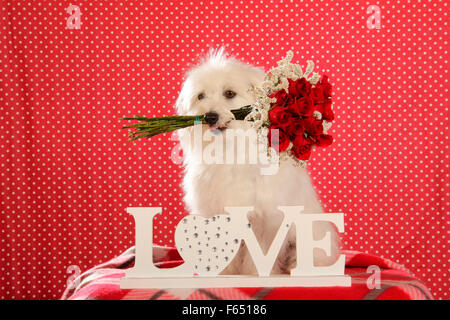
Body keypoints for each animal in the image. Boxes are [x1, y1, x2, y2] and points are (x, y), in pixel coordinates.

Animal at [175, 48, 338, 274]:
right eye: (200, 96)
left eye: (229, 93)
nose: (210, 116)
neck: (231, 149)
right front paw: (225, 271)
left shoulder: (267, 219)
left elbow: (260, 250)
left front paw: (255, 272)